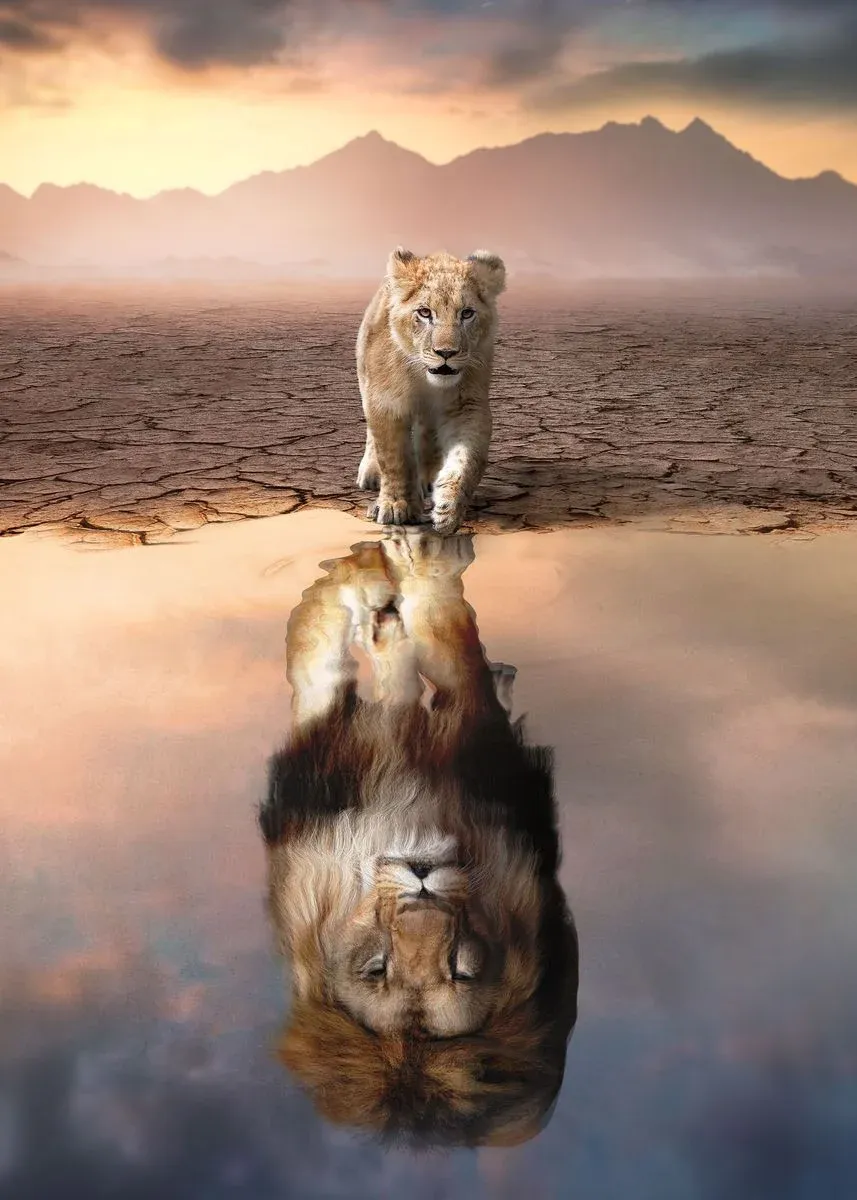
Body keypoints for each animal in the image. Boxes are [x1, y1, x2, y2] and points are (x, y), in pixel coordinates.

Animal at [259, 529, 578, 1149]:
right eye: (376, 968)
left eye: (462, 969)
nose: (422, 882)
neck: (410, 813)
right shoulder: (322, 760)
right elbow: (316, 657)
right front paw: (358, 581)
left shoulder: (485, 751)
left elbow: (449, 639)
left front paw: (422, 567)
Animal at [355, 248, 506, 535]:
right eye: (425, 313)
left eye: (467, 313)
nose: (446, 353)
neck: (424, 378)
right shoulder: (386, 402)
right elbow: (394, 458)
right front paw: (395, 506)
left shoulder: (467, 405)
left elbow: (467, 460)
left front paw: (448, 509)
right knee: (372, 434)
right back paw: (370, 473)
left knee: (429, 432)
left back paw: (428, 477)